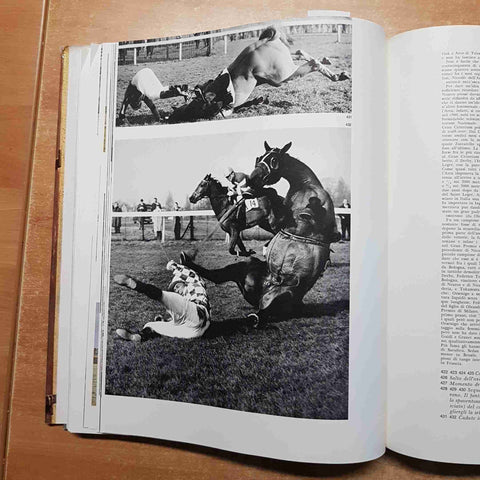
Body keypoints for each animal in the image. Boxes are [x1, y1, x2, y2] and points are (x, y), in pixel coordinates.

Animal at [166, 25, 348, 124]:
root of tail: (267, 40)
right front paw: (260, 100)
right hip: (285, 67)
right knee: (300, 53)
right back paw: (328, 62)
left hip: (281, 78)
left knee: (312, 63)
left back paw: (336, 75)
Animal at [182, 141, 344, 322]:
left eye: (202, 184)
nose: (192, 198)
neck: (225, 206)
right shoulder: (235, 232)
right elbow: (237, 248)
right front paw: (247, 252)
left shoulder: (234, 228)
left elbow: (231, 249)